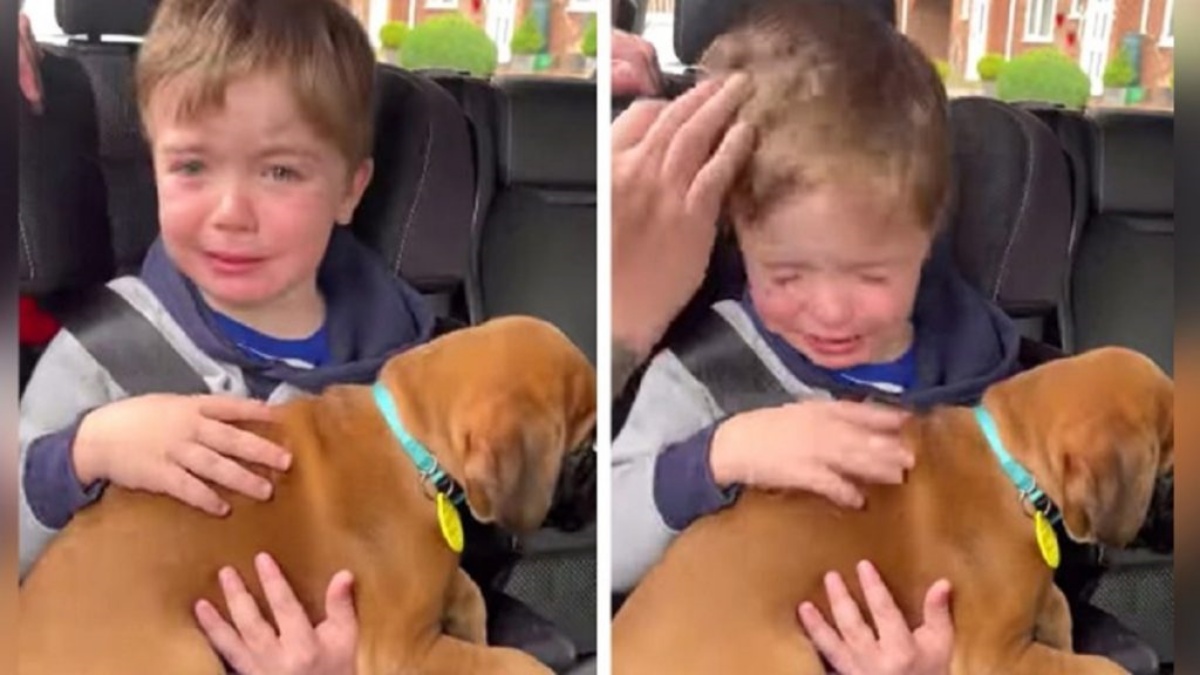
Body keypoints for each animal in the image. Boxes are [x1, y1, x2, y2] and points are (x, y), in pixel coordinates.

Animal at [18, 314, 600, 672]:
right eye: (580, 451)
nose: (595, 494)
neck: (410, 442)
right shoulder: (402, 650)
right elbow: (514, 662)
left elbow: (469, 593)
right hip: (189, 658)